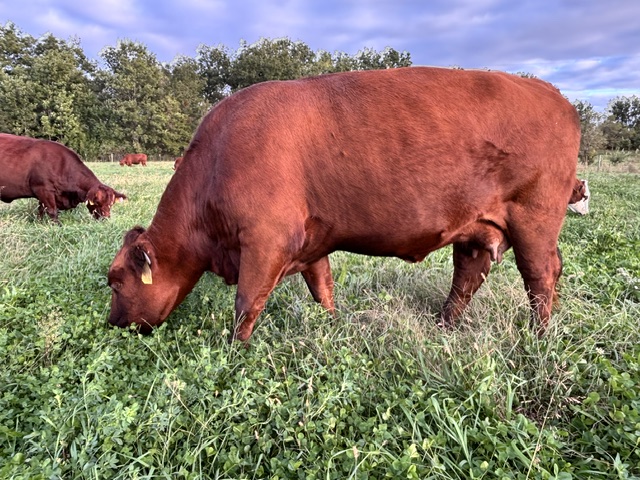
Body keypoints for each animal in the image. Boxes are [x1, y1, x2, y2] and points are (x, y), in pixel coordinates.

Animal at [107, 67, 581, 341]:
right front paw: (335, 326)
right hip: (475, 227)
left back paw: (539, 338)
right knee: (467, 276)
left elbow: (246, 306)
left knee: (540, 277)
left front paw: (232, 355)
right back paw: (443, 327)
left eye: (115, 282)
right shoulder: (310, 241)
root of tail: (554, 95)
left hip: (534, 218)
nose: (112, 323)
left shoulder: (265, 240)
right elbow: (323, 290)